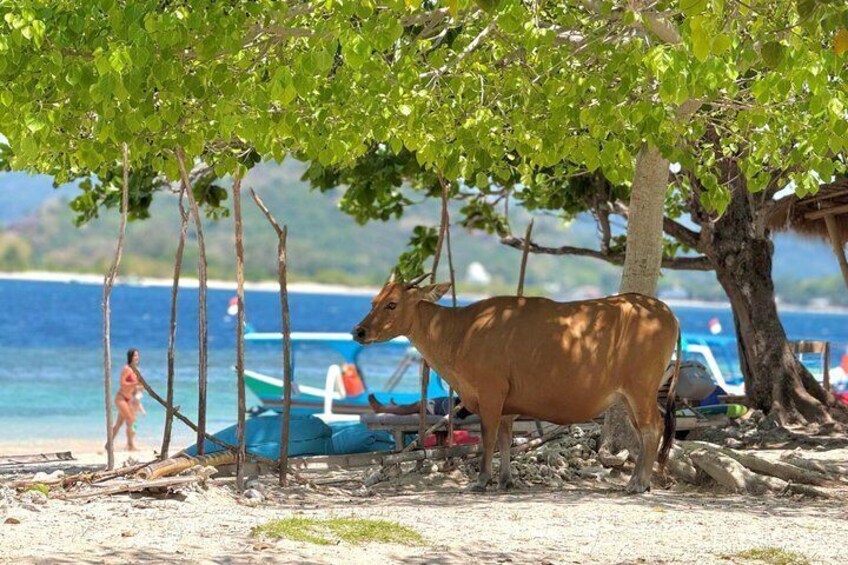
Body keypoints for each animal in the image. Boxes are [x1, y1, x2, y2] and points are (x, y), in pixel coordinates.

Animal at [352, 273, 682, 494]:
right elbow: (505, 439)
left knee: (652, 428)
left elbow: (487, 438)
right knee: (647, 431)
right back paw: (639, 480)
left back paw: (639, 483)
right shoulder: (508, 405)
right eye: (373, 302)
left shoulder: (490, 393)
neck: (461, 331)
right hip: (630, 396)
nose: (359, 331)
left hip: (640, 389)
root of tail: (665, 311)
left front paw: (481, 480)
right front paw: (505, 479)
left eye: (392, 304)